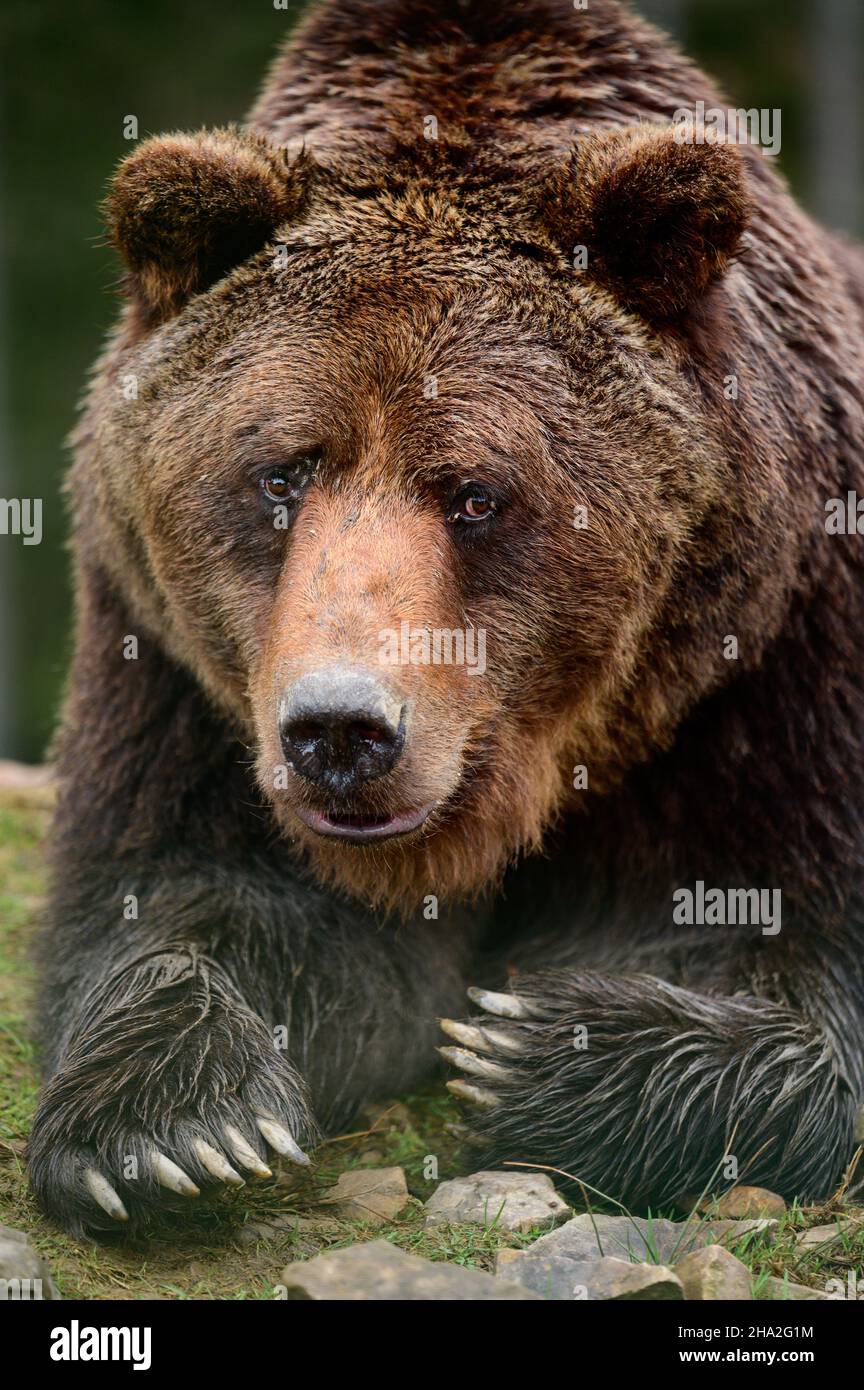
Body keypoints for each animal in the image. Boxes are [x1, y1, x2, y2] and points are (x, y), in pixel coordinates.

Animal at [27, 0, 864, 1239]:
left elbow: (784, 957)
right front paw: (173, 1123)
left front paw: (528, 1045)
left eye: (473, 491)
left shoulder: (778, 676)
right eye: (283, 472)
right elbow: (189, 899)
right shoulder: (171, 671)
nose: (339, 730)